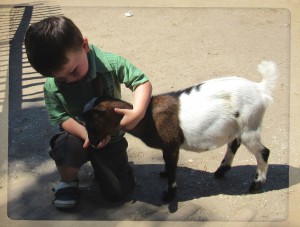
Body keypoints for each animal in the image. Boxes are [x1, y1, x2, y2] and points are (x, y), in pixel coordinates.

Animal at [82, 61, 278, 201]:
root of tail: (260, 88)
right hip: (237, 127)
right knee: (234, 144)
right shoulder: (168, 147)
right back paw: (220, 172)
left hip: (250, 126)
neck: (148, 117)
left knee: (263, 152)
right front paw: (163, 173)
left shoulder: (171, 145)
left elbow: (172, 169)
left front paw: (169, 194)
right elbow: (167, 165)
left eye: (92, 124)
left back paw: (255, 185)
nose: (93, 143)